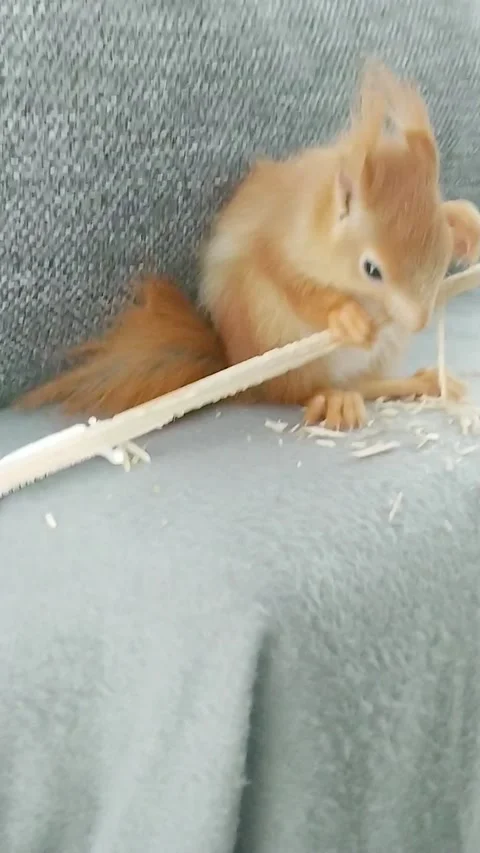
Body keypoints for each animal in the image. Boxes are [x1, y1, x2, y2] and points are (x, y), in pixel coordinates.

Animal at [19, 61, 480, 429]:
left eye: (442, 253)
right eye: (371, 270)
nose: (418, 322)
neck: (312, 212)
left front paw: (465, 224)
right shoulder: (272, 244)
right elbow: (293, 284)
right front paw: (345, 316)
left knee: (368, 382)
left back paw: (422, 381)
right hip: (272, 334)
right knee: (296, 392)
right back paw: (335, 399)